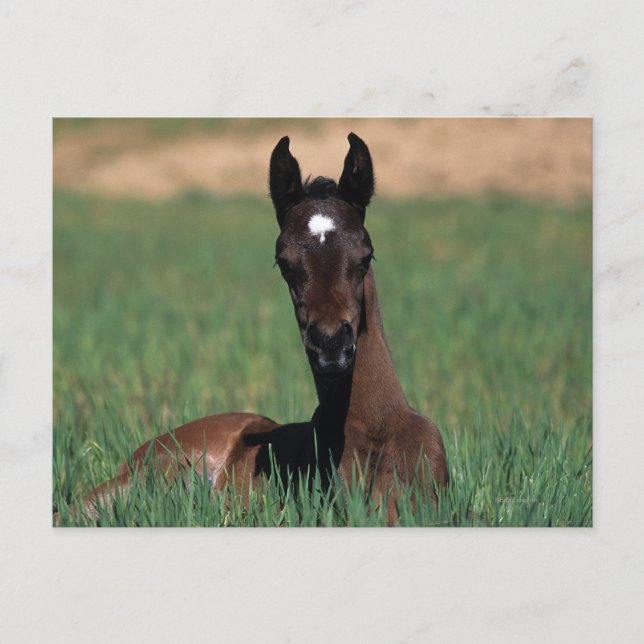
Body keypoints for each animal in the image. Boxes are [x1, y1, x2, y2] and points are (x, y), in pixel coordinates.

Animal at [58, 133, 448, 525]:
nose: (331, 346)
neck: (376, 432)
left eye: (366, 256)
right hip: (143, 481)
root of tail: (142, 449)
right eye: (283, 262)